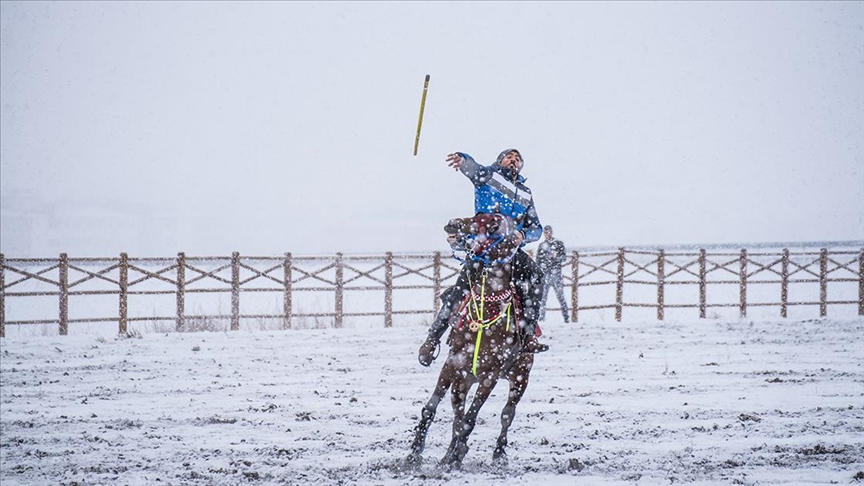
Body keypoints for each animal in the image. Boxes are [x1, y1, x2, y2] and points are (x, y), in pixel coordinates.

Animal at [408, 215, 536, 468]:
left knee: (507, 414)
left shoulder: (490, 376)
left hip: (520, 377)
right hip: (466, 378)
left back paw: (498, 453)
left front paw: (458, 454)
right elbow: (436, 410)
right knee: (459, 415)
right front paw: (416, 453)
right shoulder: (453, 365)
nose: (452, 223)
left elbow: (470, 418)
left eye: (494, 223)